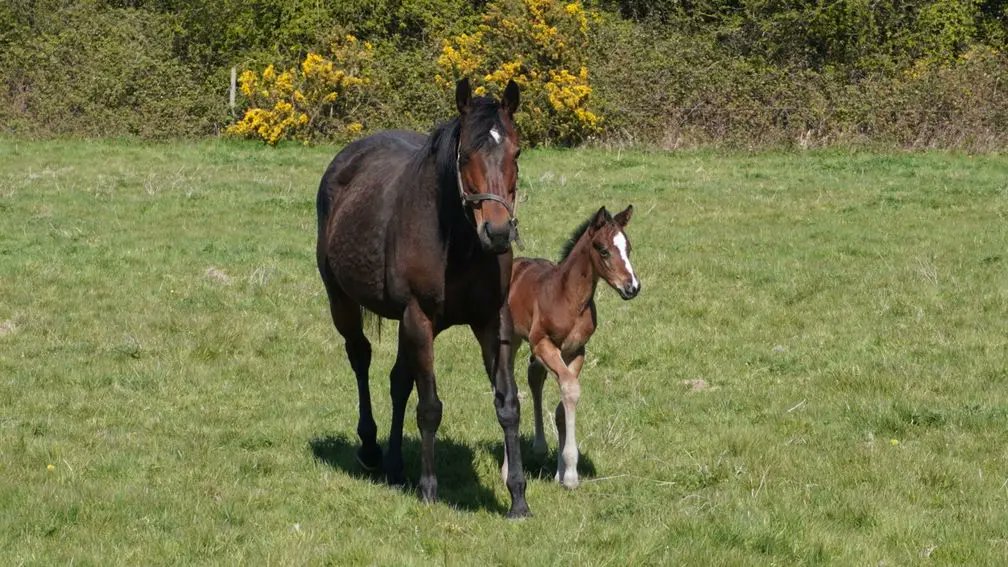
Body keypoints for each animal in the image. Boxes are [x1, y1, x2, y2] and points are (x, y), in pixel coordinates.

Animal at [315, 79, 531, 518]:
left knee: (398, 382)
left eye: (516, 152)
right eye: (465, 155)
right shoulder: (420, 318)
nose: (498, 233)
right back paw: (370, 449)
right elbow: (430, 407)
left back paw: (396, 466)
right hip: (342, 302)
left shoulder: (491, 321)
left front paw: (518, 497)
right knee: (360, 357)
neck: (458, 244)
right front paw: (430, 489)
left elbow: (508, 404)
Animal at [507, 205, 640, 488]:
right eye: (603, 249)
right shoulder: (542, 343)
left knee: (534, 376)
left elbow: (562, 403)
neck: (568, 298)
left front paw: (561, 471)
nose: (632, 287)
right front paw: (570, 473)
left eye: (629, 248)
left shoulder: (576, 350)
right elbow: (570, 388)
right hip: (511, 339)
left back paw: (539, 446)